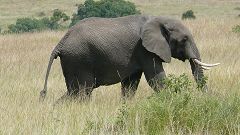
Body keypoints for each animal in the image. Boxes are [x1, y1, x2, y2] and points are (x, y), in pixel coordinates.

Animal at [39, 14, 219, 101]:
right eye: (184, 39)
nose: (206, 99)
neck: (158, 19)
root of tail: (60, 44)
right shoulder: (144, 50)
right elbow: (156, 78)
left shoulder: (137, 54)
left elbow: (131, 84)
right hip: (79, 59)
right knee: (83, 91)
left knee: (74, 92)